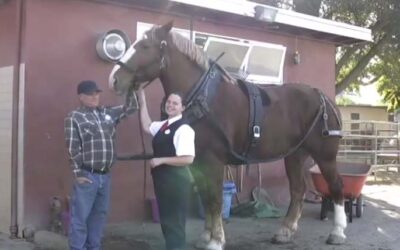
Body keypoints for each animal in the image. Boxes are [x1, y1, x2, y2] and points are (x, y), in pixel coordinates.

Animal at [108, 22, 346, 250]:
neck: (203, 97)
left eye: (145, 46)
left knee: (335, 186)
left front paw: (216, 240)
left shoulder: (213, 160)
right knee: (298, 190)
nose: (114, 79)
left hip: (325, 155)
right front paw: (206, 237)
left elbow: (215, 200)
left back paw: (337, 233)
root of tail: (323, 97)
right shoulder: (199, 160)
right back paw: (284, 232)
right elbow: (205, 198)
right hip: (295, 154)